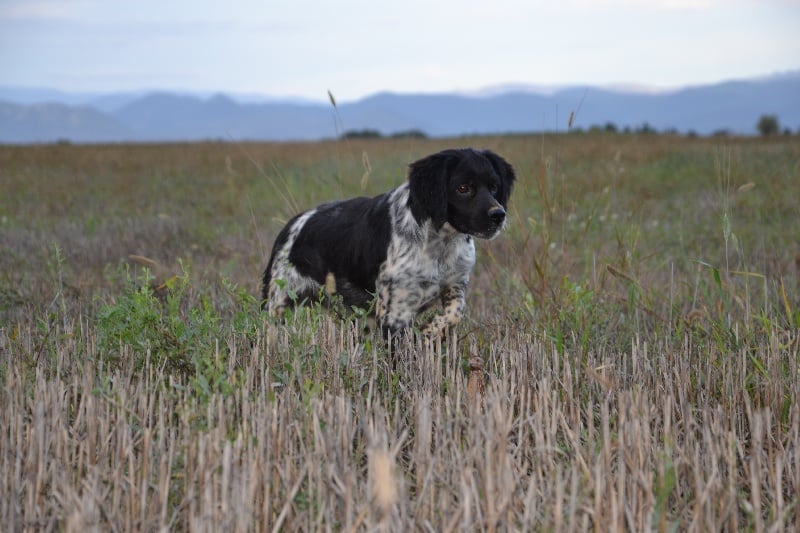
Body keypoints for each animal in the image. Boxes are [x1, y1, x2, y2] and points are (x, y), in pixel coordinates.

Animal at [260, 148, 516, 334]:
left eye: (494, 186)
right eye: (463, 188)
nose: (498, 215)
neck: (439, 243)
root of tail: (293, 223)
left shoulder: (455, 284)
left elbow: (455, 313)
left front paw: (430, 332)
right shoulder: (395, 312)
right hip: (277, 302)